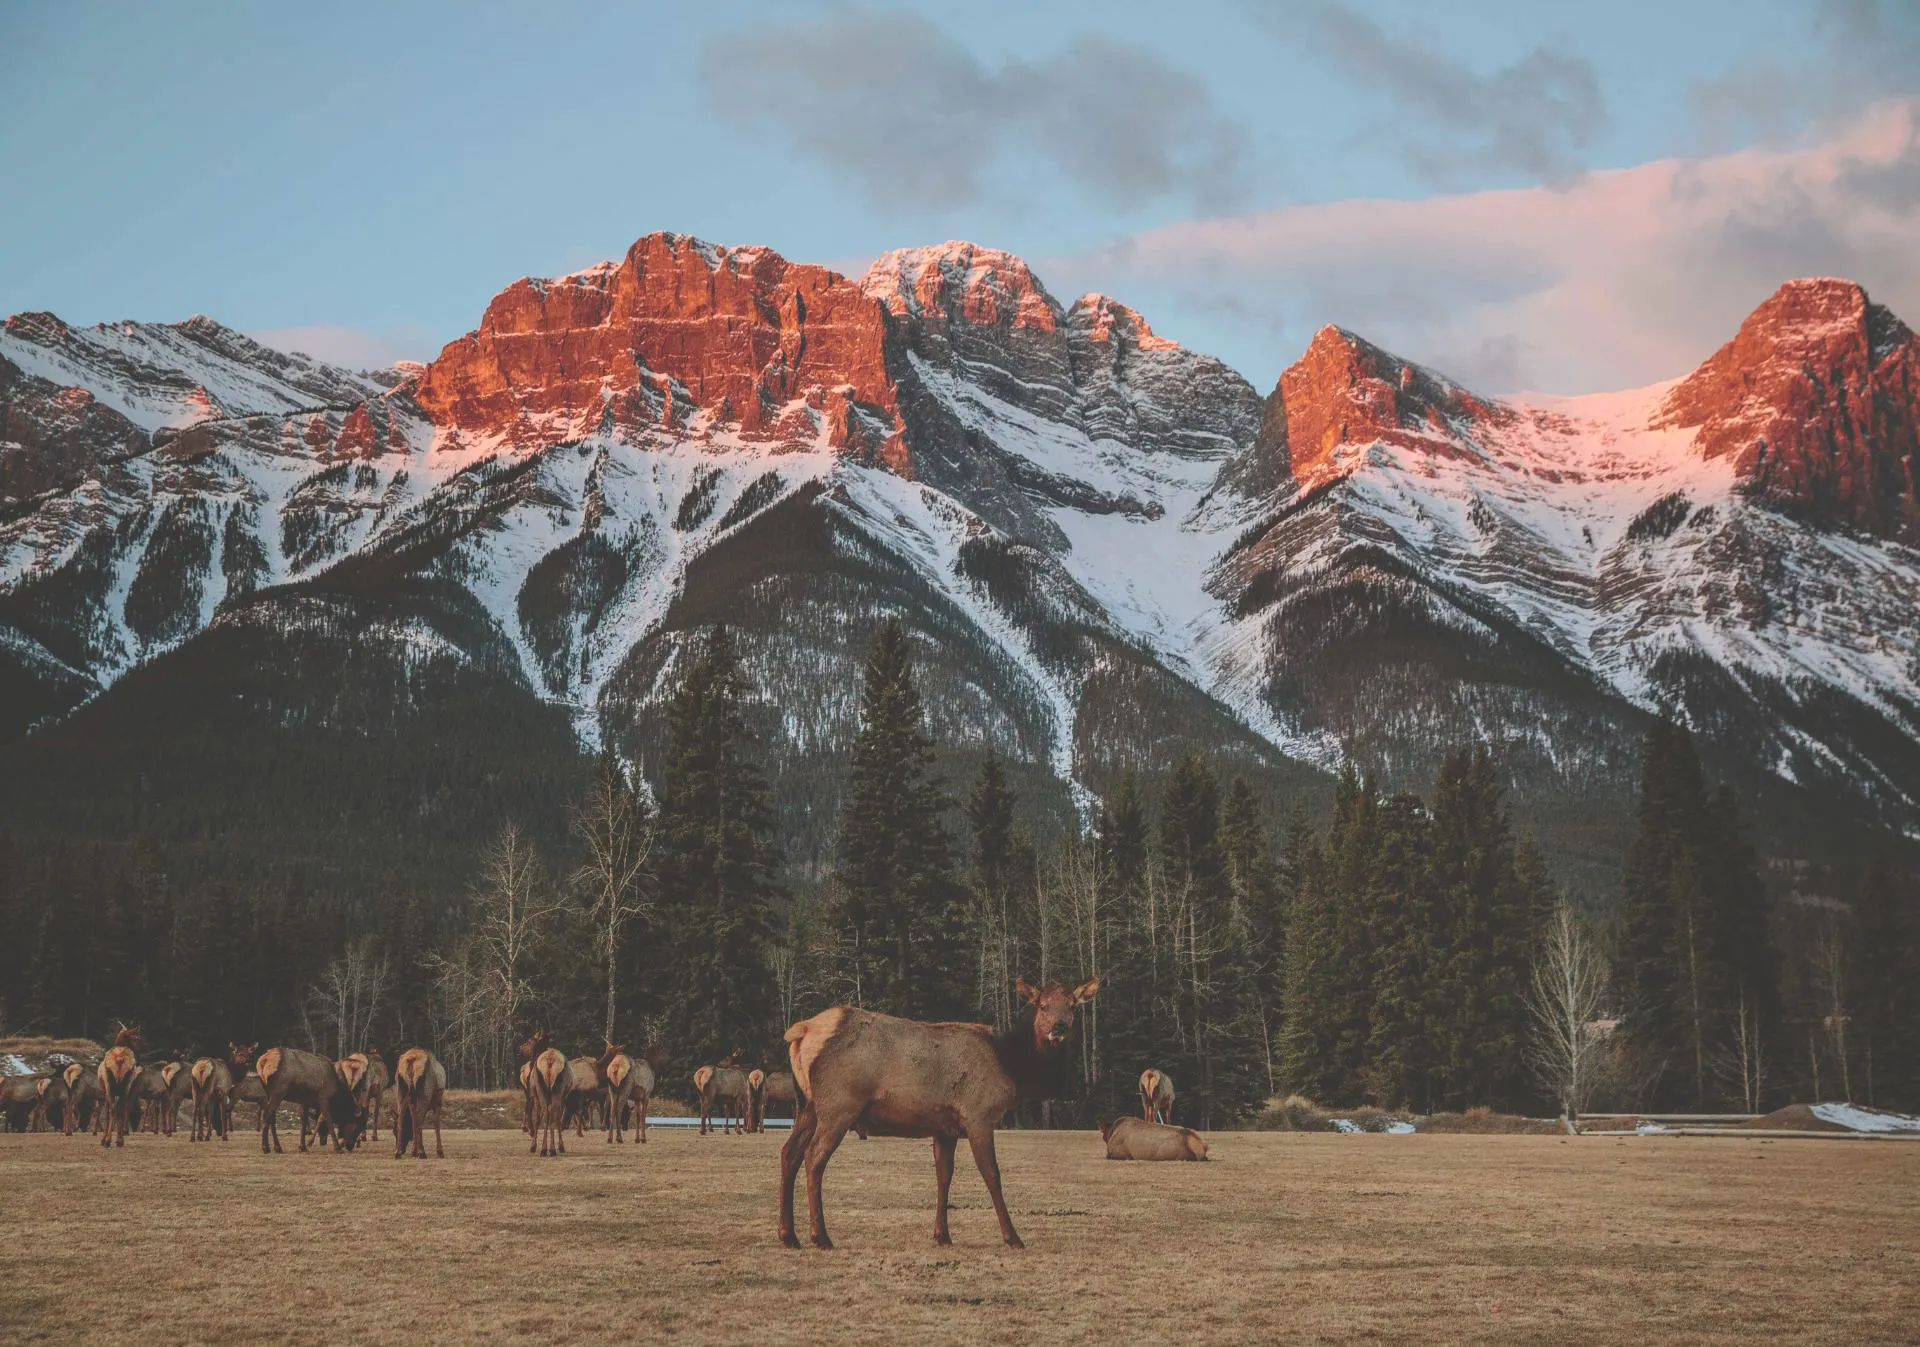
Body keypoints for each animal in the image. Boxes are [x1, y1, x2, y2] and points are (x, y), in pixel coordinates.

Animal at [96, 1028, 140, 1158]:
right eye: (136, 1038)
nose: (139, 1049)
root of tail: (119, 1059)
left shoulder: (106, 1092)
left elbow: (107, 1114)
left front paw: (103, 1139)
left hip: (110, 1085)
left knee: (113, 1109)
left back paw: (108, 1140)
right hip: (125, 1087)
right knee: (120, 1109)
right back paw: (119, 1140)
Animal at [526, 1028, 568, 1158]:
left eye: (530, 1041)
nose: (531, 1060)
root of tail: (550, 1062)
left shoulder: (535, 1095)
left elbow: (538, 1118)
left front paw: (533, 1146)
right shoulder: (563, 1097)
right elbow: (558, 1118)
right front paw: (560, 1146)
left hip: (542, 1091)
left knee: (547, 1114)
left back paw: (546, 1149)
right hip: (555, 1091)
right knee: (551, 1114)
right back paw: (550, 1149)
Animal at [771, 970, 1090, 1258]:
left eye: (1073, 1005)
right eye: (1043, 1005)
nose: (1059, 1027)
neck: (1012, 1068)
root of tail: (802, 1031)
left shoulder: (945, 1128)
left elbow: (943, 1176)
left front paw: (942, 1235)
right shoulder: (978, 1116)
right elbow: (992, 1175)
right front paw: (1012, 1237)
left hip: (806, 1106)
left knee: (789, 1153)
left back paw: (789, 1236)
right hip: (838, 1105)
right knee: (814, 1157)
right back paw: (820, 1236)